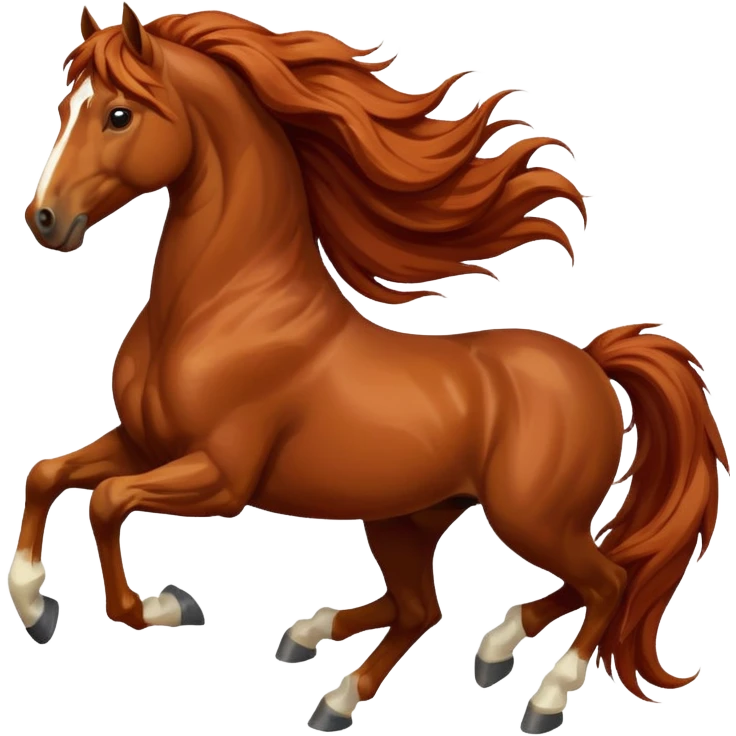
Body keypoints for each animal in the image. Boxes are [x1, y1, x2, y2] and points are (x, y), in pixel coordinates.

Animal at [12, 4, 727, 734]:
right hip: (406, 518)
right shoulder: (144, 444)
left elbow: (106, 501)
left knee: (606, 580)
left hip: (532, 519)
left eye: (118, 114)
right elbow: (49, 476)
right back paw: (363, 658)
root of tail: (590, 361)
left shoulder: (220, 476)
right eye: (65, 107)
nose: (46, 219)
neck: (221, 308)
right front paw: (37, 606)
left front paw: (165, 605)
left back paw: (540, 695)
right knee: (425, 607)